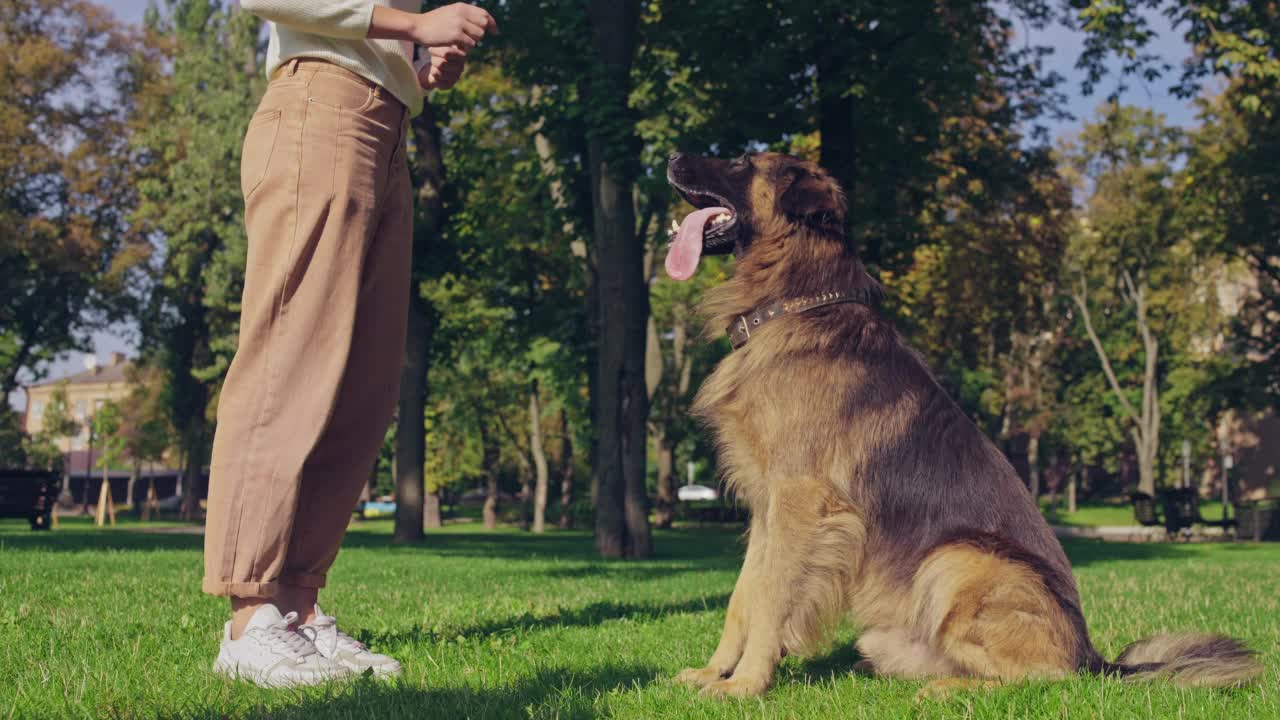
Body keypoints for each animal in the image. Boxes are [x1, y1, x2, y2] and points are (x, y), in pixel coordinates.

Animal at [665, 151, 1264, 696]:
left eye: (742, 163)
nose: (671, 157)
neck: (796, 305)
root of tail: (1096, 658)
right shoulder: (768, 509)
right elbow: (744, 597)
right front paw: (715, 672)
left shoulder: (801, 504)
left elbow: (771, 601)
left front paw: (745, 686)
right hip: (893, 626)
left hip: (956, 558)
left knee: (1042, 679)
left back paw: (947, 690)